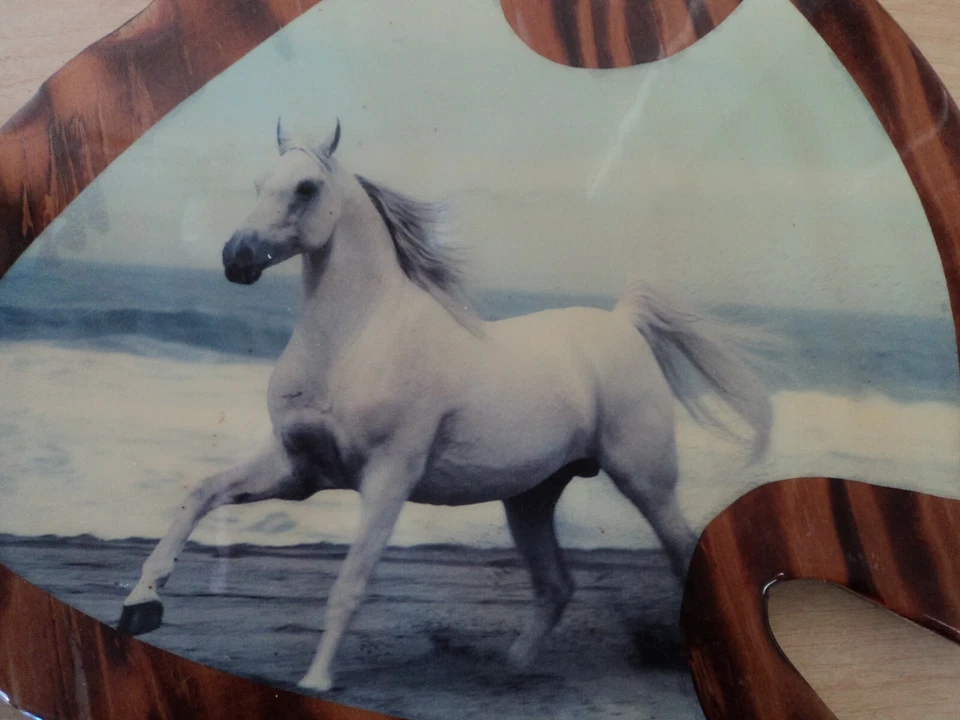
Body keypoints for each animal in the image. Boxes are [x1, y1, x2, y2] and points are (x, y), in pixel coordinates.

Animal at [117, 119, 773, 692]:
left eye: (305, 188)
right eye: (259, 183)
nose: (238, 258)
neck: (353, 342)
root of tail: (622, 321)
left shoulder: (388, 476)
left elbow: (351, 581)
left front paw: (317, 679)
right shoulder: (298, 469)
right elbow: (200, 495)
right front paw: (140, 606)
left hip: (645, 480)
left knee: (679, 551)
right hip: (530, 497)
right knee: (556, 585)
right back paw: (510, 670)